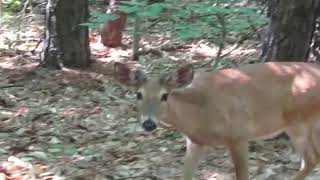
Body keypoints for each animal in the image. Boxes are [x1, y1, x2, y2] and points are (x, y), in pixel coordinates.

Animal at [113, 61, 320, 179]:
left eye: (165, 95)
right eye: (138, 94)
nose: (149, 123)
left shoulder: (238, 135)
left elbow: (243, 176)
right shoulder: (195, 142)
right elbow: (185, 175)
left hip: (300, 121)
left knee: (311, 158)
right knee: (312, 159)